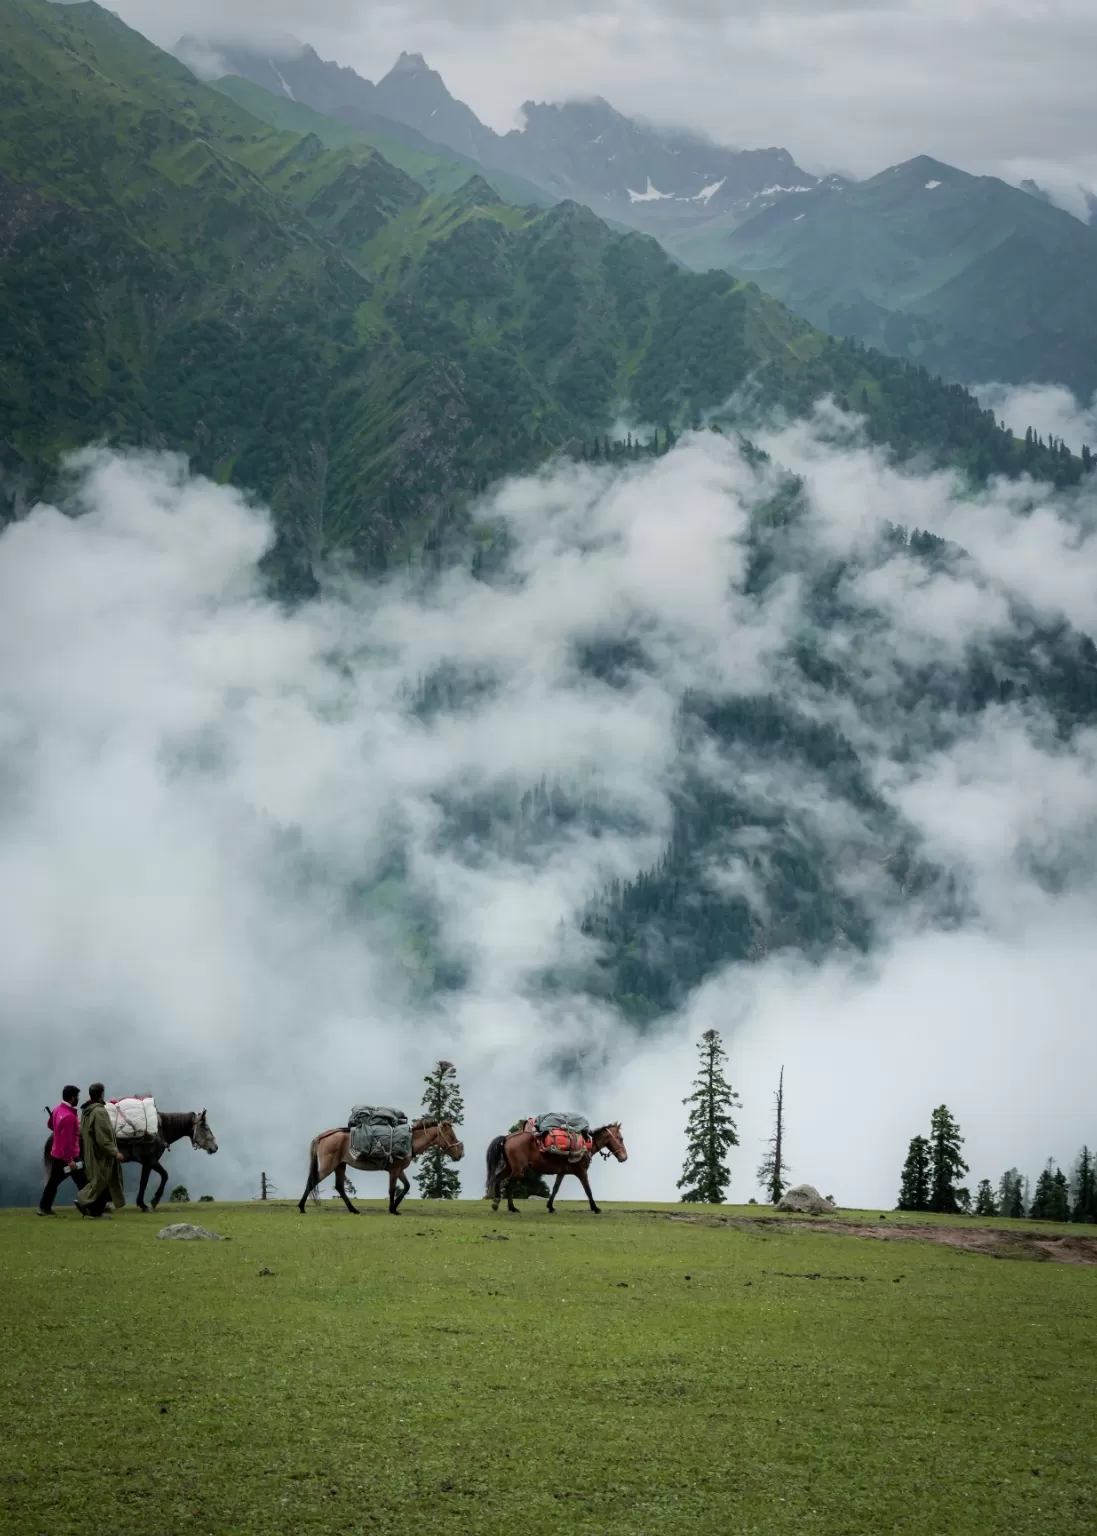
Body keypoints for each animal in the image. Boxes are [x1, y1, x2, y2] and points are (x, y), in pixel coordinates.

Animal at [43, 1112, 218, 1204]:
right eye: (206, 1127)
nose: (215, 1147)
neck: (159, 1130)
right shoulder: (149, 1161)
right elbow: (149, 1180)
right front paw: (148, 1202)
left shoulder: (150, 1161)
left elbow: (162, 1176)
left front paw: (150, 1201)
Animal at [296, 1118, 463, 1210]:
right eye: (451, 1136)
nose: (461, 1153)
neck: (409, 1142)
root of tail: (323, 1135)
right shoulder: (394, 1171)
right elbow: (392, 1190)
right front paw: (392, 1209)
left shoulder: (399, 1170)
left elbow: (406, 1187)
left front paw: (395, 1207)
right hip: (328, 1166)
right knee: (313, 1182)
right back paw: (301, 1207)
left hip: (340, 1166)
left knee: (339, 1187)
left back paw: (354, 1210)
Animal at [485, 1124, 626, 1216]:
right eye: (621, 1139)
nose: (624, 1157)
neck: (587, 1145)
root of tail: (507, 1138)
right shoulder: (582, 1172)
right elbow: (588, 1190)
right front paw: (596, 1208)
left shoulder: (561, 1173)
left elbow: (555, 1189)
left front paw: (551, 1207)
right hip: (518, 1169)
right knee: (509, 1184)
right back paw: (512, 1208)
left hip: (510, 1167)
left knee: (497, 1178)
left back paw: (496, 1202)